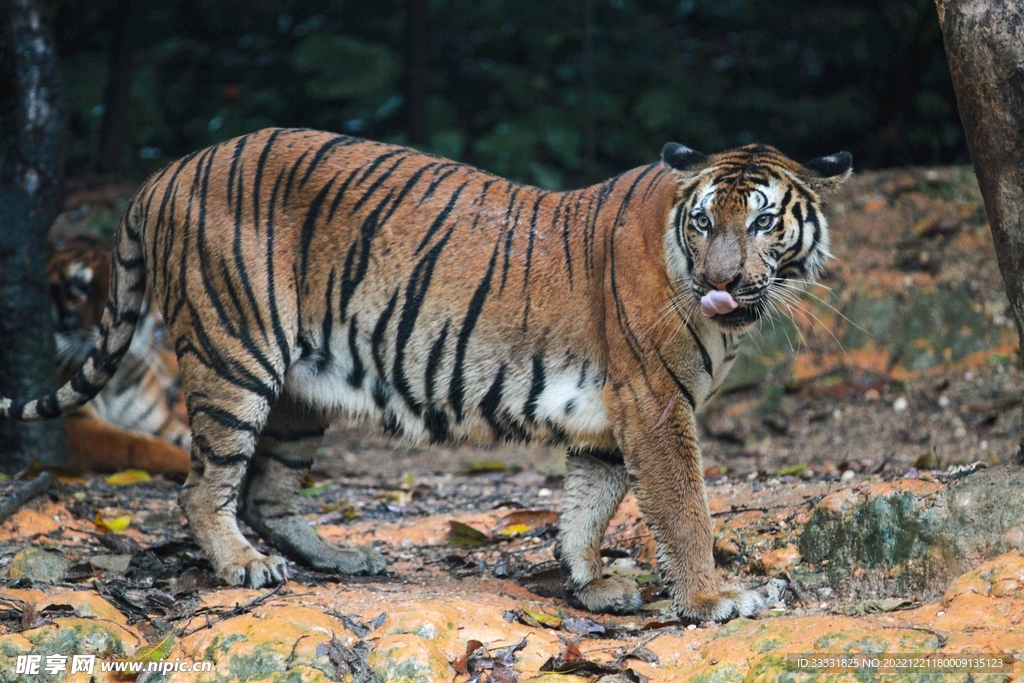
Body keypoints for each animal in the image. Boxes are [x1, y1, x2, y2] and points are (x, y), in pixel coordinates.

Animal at [47, 235, 191, 477]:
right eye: (79, 287)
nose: (113, 326)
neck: (115, 377)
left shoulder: (159, 423)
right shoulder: (78, 428)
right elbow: (144, 448)